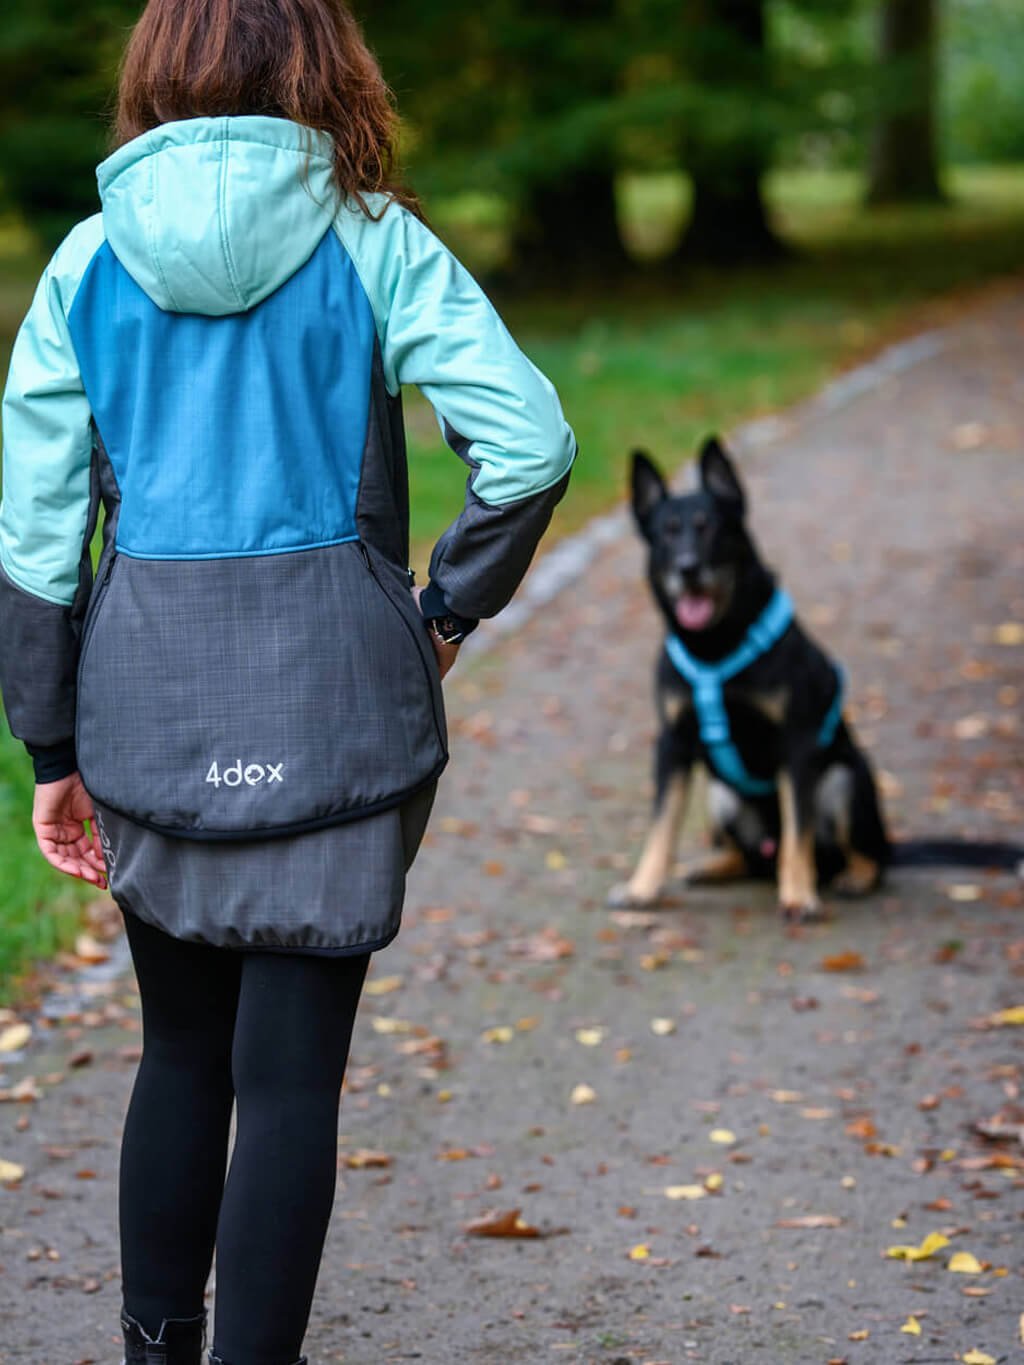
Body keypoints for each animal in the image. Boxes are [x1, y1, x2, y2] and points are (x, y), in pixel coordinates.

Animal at [614, 436, 895, 922]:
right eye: (667, 532)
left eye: (710, 527)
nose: (688, 567)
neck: (716, 645)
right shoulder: (672, 745)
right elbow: (661, 826)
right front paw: (642, 888)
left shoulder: (797, 745)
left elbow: (798, 833)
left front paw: (798, 895)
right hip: (720, 795)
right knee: (746, 856)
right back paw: (712, 866)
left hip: (844, 779)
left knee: (867, 853)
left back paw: (854, 878)